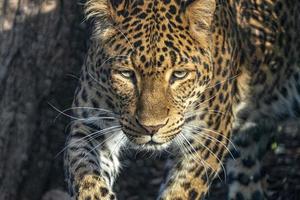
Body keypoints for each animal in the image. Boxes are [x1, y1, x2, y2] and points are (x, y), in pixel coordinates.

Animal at [64, 0, 300, 199]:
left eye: (179, 75)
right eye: (126, 74)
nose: (152, 128)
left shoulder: (207, 138)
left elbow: (182, 190)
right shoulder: (89, 126)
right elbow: (85, 174)